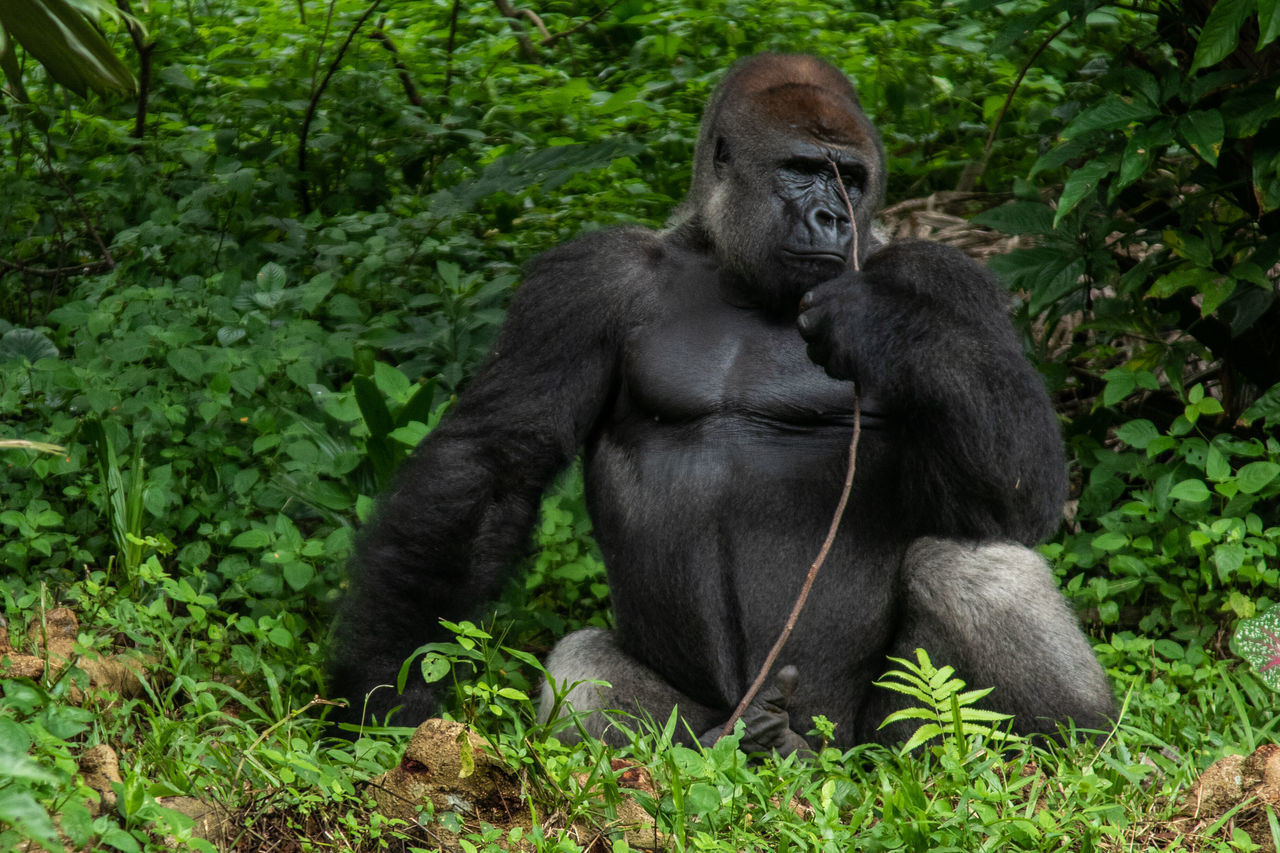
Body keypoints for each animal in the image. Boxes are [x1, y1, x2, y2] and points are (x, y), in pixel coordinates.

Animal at [327, 51, 1111, 753]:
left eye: (852, 180)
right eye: (802, 169)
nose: (833, 217)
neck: (733, 265)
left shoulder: (949, 276)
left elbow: (1019, 484)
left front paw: (882, 324)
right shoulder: (585, 280)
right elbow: (494, 463)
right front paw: (383, 685)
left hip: (873, 743)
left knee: (979, 569)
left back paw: (1078, 746)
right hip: (714, 726)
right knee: (588, 670)